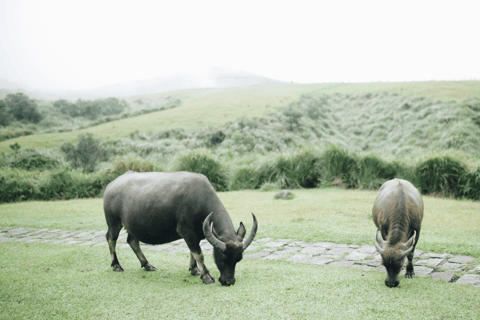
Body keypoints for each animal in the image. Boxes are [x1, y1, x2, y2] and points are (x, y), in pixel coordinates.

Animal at [103, 171, 256, 286]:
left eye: (239, 259)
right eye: (223, 257)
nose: (228, 281)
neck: (200, 199)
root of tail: (111, 185)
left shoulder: (196, 233)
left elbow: (192, 252)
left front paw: (194, 270)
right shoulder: (186, 231)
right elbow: (199, 253)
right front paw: (206, 276)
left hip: (134, 226)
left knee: (132, 241)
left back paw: (147, 264)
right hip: (114, 222)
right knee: (111, 239)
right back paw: (116, 265)